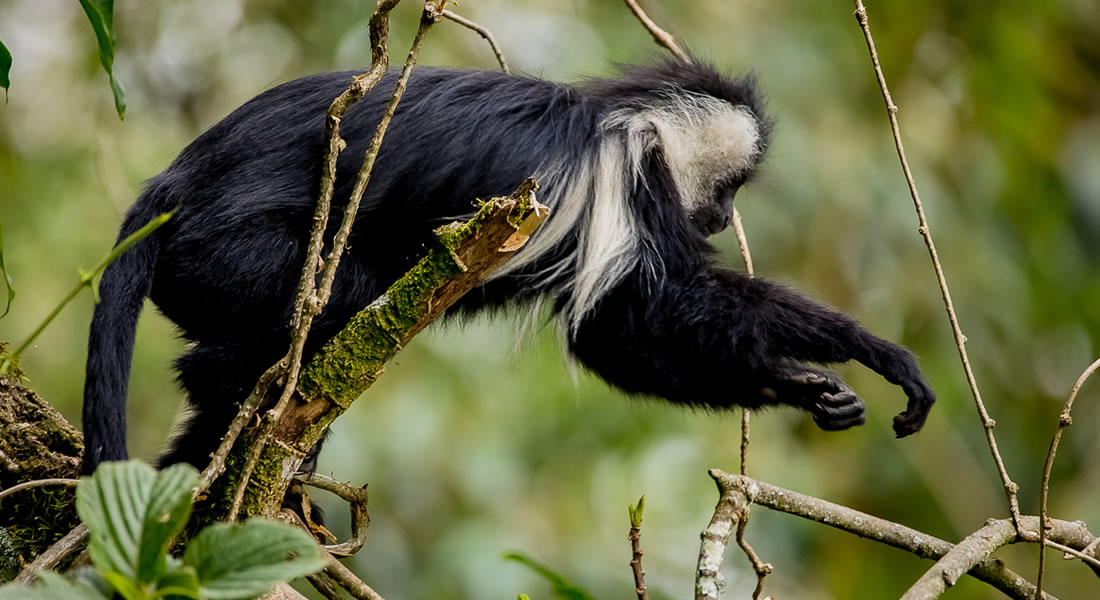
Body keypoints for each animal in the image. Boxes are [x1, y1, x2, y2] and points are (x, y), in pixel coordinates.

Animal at [81, 58, 932, 475]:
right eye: (729, 187)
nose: (722, 217)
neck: (629, 123)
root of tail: (172, 187)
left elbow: (627, 338)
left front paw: (805, 387)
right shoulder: (622, 181)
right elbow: (645, 317)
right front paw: (871, 349)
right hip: (231, 254)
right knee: (332, 295)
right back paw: (229, 398)